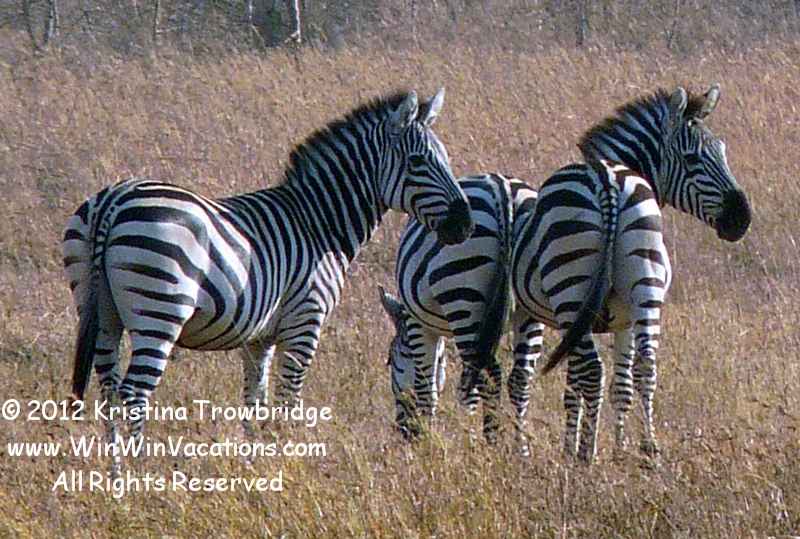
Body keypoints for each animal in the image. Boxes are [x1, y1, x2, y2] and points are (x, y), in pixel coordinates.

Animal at [63, 89, 474, 477]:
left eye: (446, 159)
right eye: (418, 162)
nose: (466, 225)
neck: (320, 223)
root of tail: (114, 201)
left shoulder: (259, 338)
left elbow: (254, 405)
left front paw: (258, 467)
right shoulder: (305, 322)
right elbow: (288, 403)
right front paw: (292, 465)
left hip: (102, 315)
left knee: (109, 392)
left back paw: (117, 478)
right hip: (159, 313)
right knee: (134, 394)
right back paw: (141, 476)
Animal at [378, 173, 542, 454]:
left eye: (390, 360)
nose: (404, 431)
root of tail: (503, 193)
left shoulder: (418, 325)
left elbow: (426, 387)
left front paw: (430, 443)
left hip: (463, 295)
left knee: (486, 377)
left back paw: (489, 443)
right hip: (527, 307)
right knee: (519, 381)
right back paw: (520, 451)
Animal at [507, 84, 751, 463]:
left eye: (722, 151)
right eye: (692, 159)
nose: (742, 218)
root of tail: (607, 178)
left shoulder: (576, 320)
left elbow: (576, 383)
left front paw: (575, 446)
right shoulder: (622, 317)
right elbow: (621, 382)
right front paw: (620, 447)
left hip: (571, 290)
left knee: (593, 369)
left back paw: (587, 453)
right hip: (644, 283)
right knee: (646, 365)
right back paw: (648, 448)